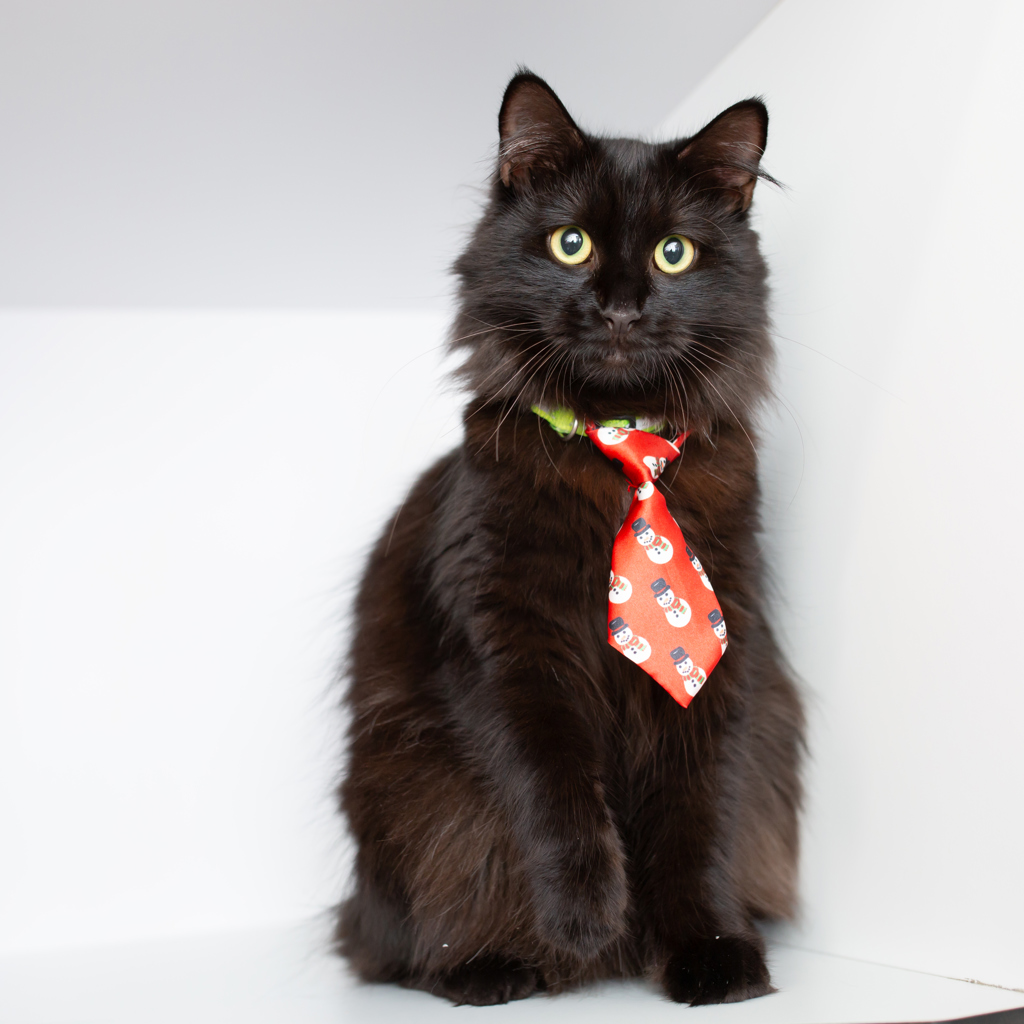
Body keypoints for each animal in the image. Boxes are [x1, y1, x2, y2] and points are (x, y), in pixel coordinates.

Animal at [336, 70, 804, 1007]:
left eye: (674, 254)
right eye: (570, 243)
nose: (620, 309)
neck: (616, 451)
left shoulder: (722, 662)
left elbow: (699, 819)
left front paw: (707, 952)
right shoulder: (511, 647)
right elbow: (555, 793)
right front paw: (589, 919)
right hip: (410, 796)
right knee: (408, 942)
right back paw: (496, 968)